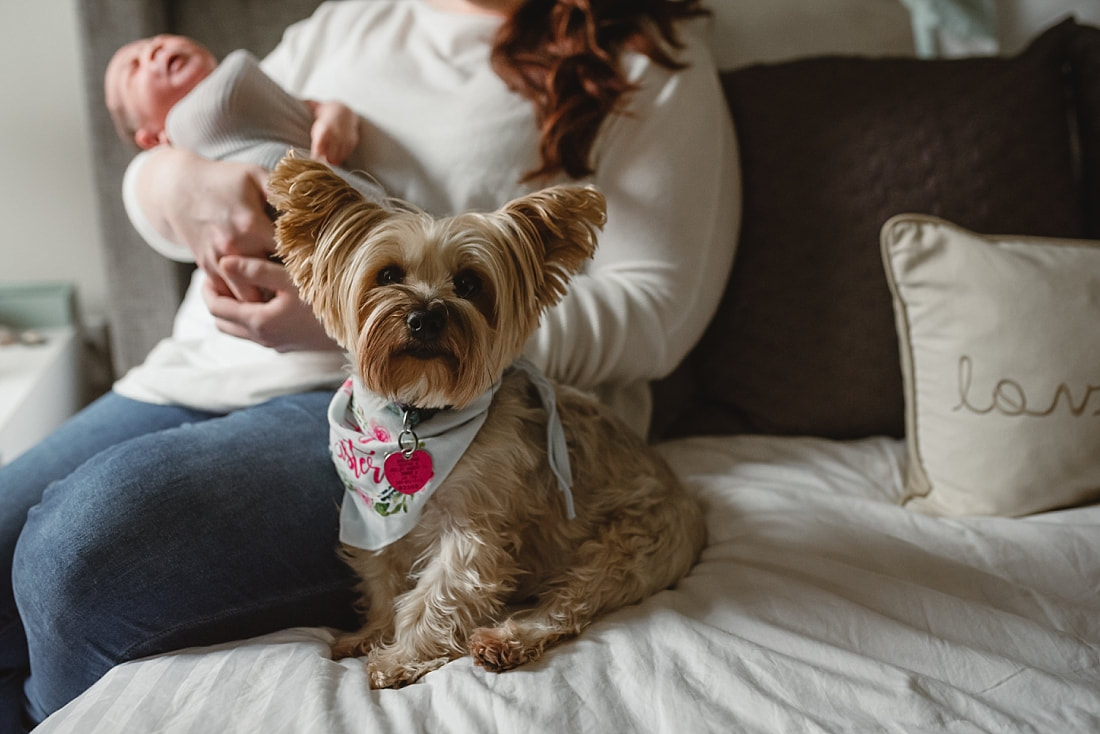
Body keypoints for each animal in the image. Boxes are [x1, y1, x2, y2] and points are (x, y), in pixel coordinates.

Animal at [270, 155, 708, 691]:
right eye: (388, 275)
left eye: (469, 284)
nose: (425, 317)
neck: (417, 415)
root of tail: (692, 506)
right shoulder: (373, 521)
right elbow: (383, 579)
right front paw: (372, 634)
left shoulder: (473, 527)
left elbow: (440, 593)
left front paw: (401, 657)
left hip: (629, 545)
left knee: (572, 602)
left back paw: (506, 640)